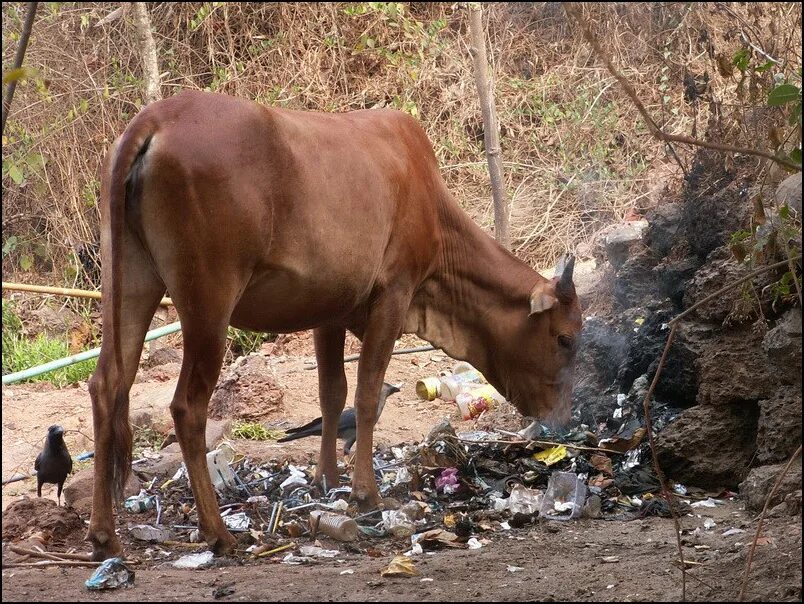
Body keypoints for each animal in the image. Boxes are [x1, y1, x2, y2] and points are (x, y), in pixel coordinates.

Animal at [86, 91, 576, 560]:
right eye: (565, 338)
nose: (561, 415)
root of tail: (156, 117)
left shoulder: (329, 312)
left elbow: (332, 393)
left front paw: (327, 477)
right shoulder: (394, 294)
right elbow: (366, 396)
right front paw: (365, 493)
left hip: (130, 282)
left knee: (107, 385)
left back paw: (105, 536)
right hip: (209, 303)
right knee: (188, 406)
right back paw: (217, 533)